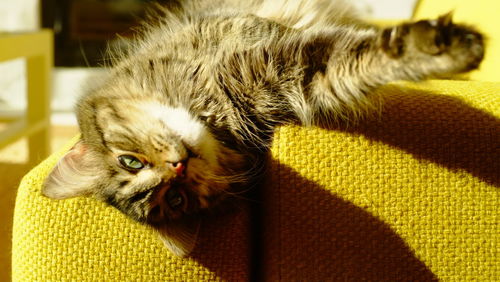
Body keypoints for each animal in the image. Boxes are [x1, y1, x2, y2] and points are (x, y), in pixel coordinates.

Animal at [42, 0, 484, 256]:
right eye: (176, 200)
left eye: (130, 162)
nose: (178, 167)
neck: (212, 105)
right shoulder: (292, 77)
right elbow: (351, 62)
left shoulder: (267, 47)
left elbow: (361, 48)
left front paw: (451, 47)